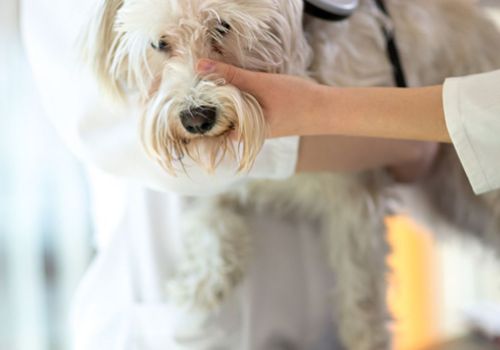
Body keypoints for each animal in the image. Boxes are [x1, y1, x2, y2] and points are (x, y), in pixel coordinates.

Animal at [84, 1, 500, 348]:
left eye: (222, 26)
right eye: (160, 43)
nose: (196, 117)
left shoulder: (355, 196)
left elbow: (360, 294)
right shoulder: (216, 178)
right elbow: (208, 218)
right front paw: (202, 285)